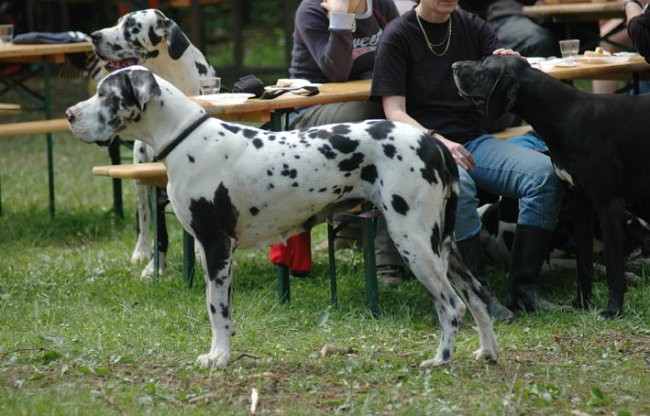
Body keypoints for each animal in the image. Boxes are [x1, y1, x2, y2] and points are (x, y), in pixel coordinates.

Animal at [450, 54, 648, 316]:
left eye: (484, 65)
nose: (453, 67)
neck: (566, 116)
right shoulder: (580, 203)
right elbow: (584, 264)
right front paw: (581, 304)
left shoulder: (608, 204)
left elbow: (614, 268)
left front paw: (612, 310)